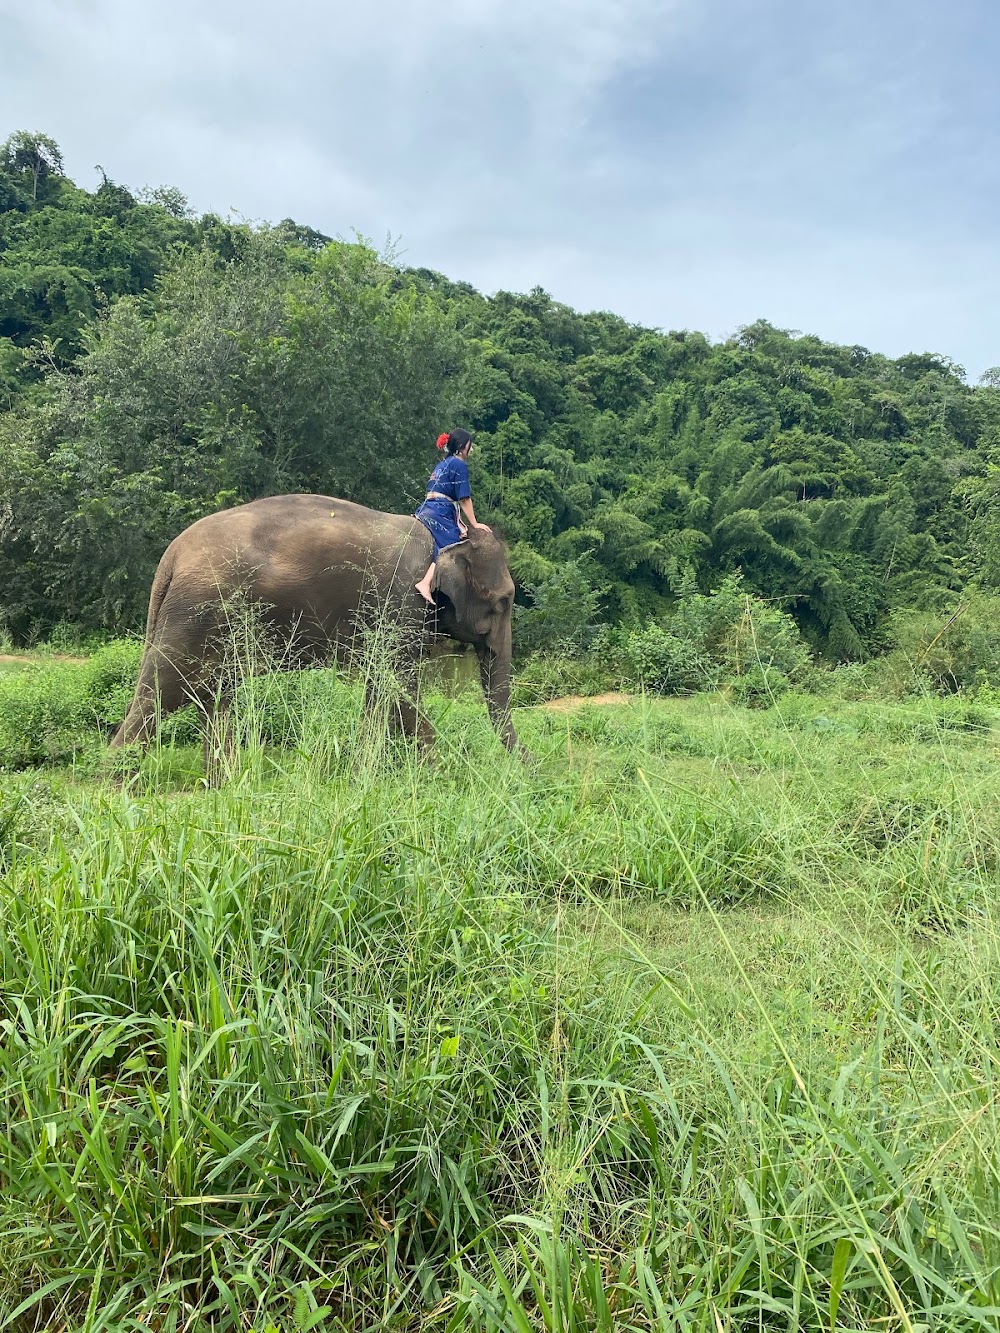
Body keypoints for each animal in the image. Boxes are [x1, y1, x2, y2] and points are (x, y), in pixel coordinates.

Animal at [110, 495, 525, 773]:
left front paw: (362, 775)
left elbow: (380, 687)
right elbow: (399, 687)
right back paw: (117, 790)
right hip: (198, 612)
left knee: (213, 695)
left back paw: (223, 784)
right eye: (504, 600)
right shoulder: (402, 602)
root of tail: (171, 556)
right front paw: (434, 775)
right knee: (161, 693)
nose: (529, 769)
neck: (448, 540)